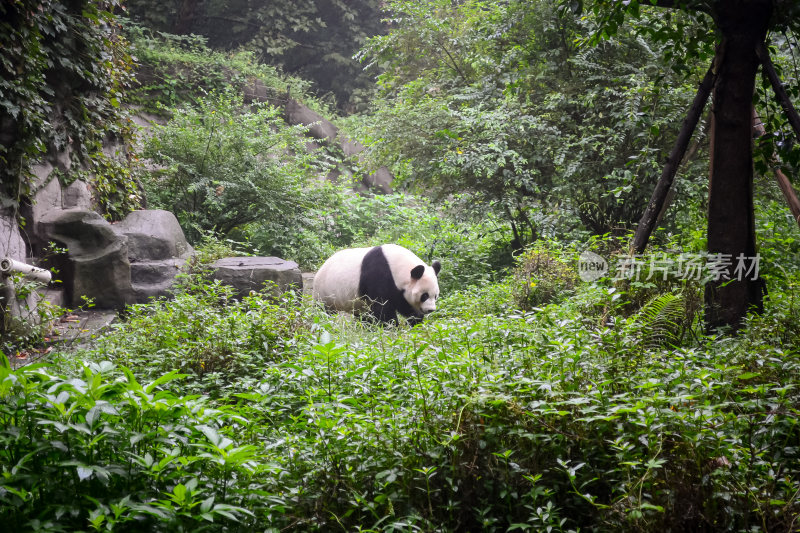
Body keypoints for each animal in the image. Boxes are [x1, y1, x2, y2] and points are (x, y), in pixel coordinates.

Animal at [312, 244, 440, 326]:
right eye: (424, 295)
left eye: (435, 296)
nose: (430, 309)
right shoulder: (379, 275)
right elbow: (383, 307)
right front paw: (391, 327)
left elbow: (405, 305)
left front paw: (415, 322)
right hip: (325, 293)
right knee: (322, 311)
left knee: (363, 314)